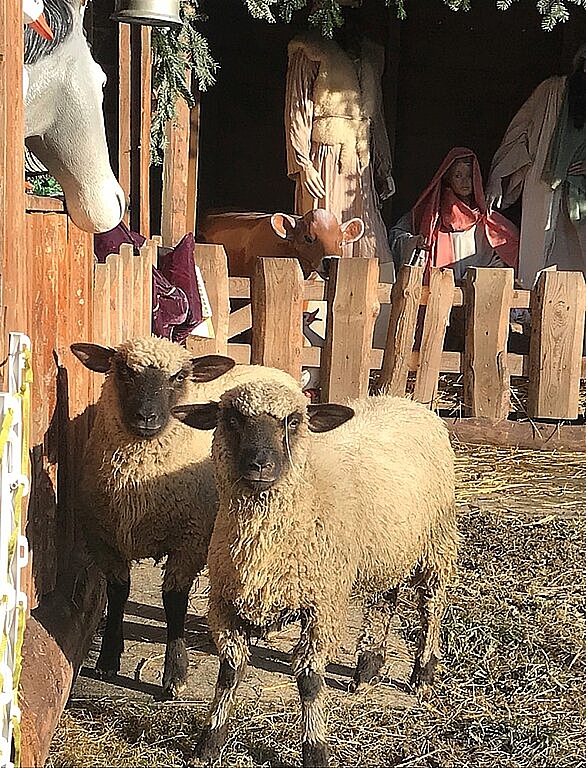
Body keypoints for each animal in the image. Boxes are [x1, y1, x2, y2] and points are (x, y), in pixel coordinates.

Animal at [72, 340, 302, 700]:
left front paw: (174, 674)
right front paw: (108, 657)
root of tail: (264, 368)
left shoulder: (189, 541)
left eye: (179, 376)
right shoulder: (105, 541)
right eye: (124, 370)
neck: (138, 480)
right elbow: (118, 593)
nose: (147, 417)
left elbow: (174, 603)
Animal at [173, 380, 456, 764]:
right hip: (386, 548)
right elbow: (230, 673)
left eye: (293, 421)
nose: (260, 464)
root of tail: (405, 400)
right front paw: (208, 744)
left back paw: (423, 674)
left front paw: (316, 749)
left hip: (437, 541)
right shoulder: (223, 604)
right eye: (232, 418)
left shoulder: (322, 605)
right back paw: (368, 667)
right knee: (385, 598)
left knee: (432, 605)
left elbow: (309, 680)